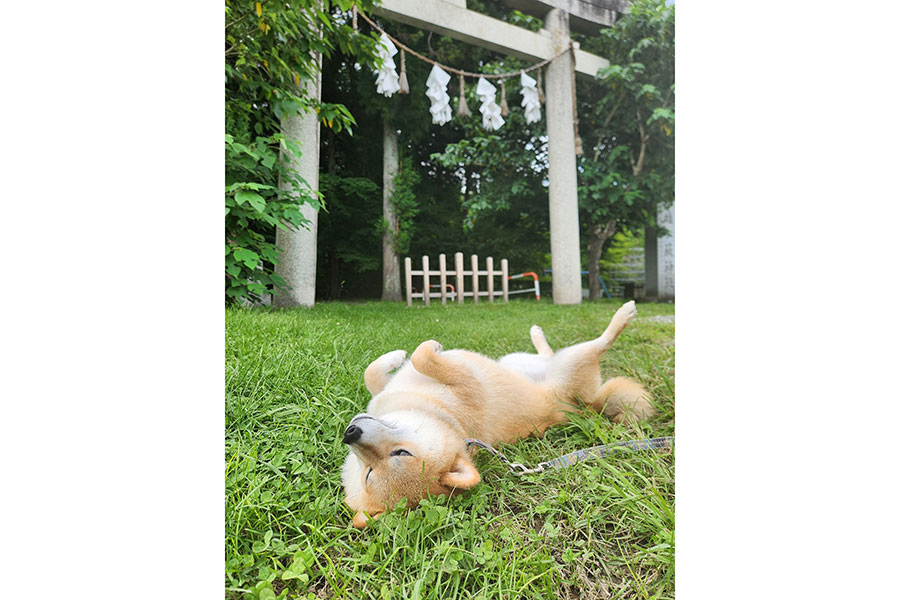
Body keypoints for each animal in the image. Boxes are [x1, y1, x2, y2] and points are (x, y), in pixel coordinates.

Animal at [342, 302, 652, 528]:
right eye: (370, 473)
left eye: (401, 453)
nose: (351, 433)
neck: (445, 417)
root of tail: (583, 406)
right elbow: (405, 362)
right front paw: (415, 351)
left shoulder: (440, 384)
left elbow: (392, 365)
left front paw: (400, 354)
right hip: (568, 362)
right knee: (597, 345)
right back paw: (622, 315)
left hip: (535, 362)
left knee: (566, 350)